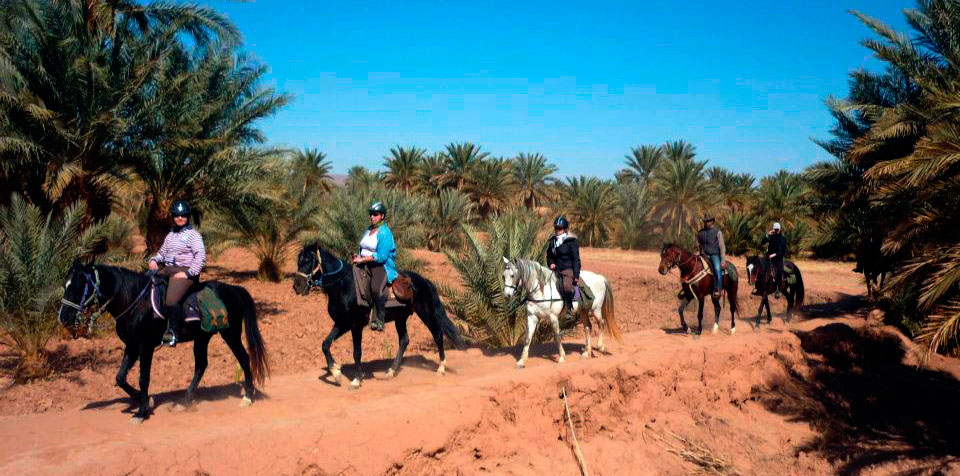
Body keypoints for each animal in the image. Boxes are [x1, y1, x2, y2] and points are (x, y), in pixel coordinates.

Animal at [57, 262, 268, 422]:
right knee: (201, 365)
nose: (64, 318)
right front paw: (145, 401)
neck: (134, 300)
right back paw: (185, 401)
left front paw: (142, 412)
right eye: (65, 286)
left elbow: (143, 378)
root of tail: (233, 289)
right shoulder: (132, 346)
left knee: (243, 358)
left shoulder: (145, 346)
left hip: (230, 334)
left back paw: (248, 397)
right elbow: (120, 377)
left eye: (78, 286)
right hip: (202, 338)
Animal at [290, 244, 460, 388]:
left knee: (437, 335)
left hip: (426, 313)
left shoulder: (355, 326)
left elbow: (357, 353)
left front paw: (357, 379)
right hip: (401, 318)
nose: (297, 286)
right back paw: (391, 371)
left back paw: (441, 368)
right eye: (298, 260)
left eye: (310, 260)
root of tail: (424, 281)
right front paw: (336, 373)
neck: (344, 286)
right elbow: (325, 344)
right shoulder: (342, 324)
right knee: (404, 340)